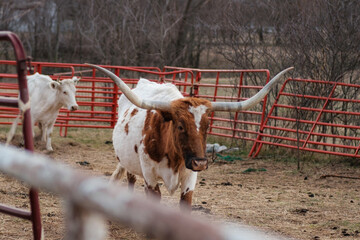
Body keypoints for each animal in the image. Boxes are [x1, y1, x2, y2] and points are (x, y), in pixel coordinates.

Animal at [86, 63, 292, 208]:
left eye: (208, 126)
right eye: (180, 126)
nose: (200, 162)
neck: (174, 156)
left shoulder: (190, 177)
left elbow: (185, 203)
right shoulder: (150, 176)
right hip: (130, 165)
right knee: (130, 180)